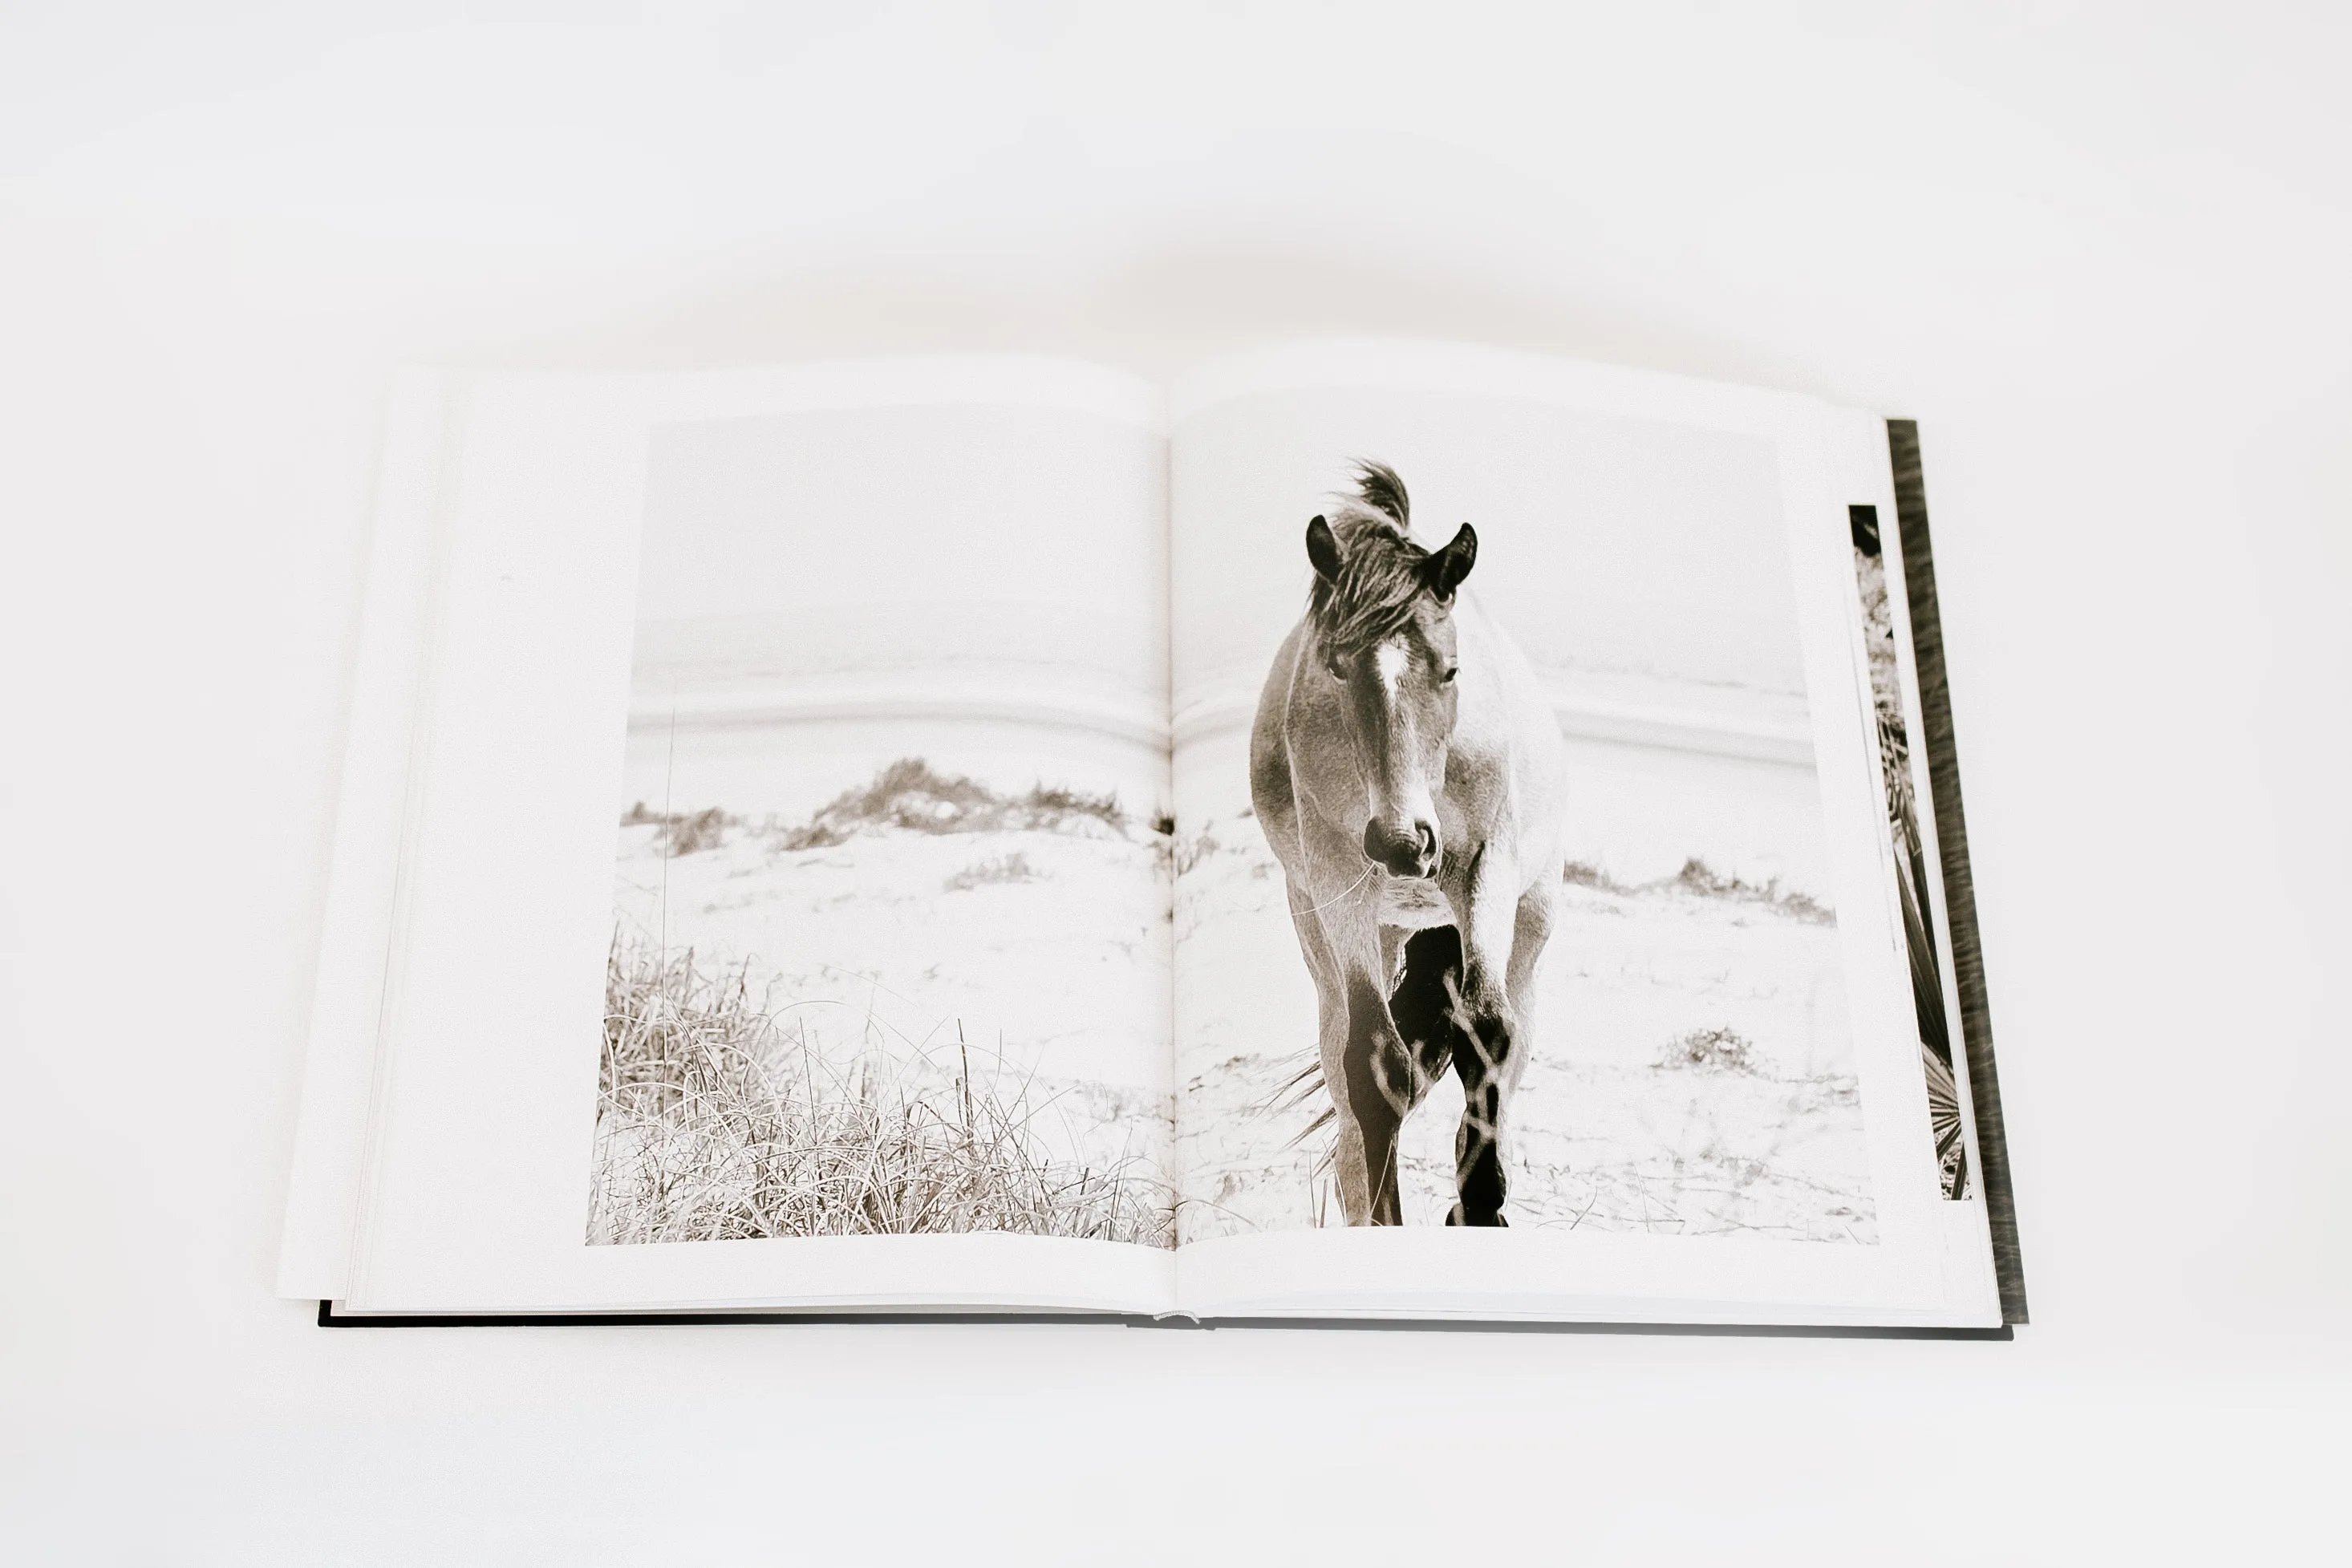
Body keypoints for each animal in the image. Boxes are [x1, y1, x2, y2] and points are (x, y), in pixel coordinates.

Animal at [1242, 463, 1571, 1222]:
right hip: (1343, 934)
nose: (1403, 843)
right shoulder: (1340, 882)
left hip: (1524, 931)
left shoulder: (1485, 870)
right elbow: (1376, 1067)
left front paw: (1479, 1205)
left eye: (1449, 670)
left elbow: (1486, 1034)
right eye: (1337, 666)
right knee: (1346, 1109)